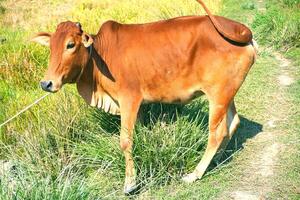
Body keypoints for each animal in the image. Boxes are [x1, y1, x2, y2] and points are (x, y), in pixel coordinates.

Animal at [32, 0, 258, 194]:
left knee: (217, 132)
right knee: (233, 123)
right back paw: (216, 160)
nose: (46, 83)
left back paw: (195, 173)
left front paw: (130, 183)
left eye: (70, 45)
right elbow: (138, 133)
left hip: (217, 95)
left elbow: (125, 141)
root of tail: (241, 30)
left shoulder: (129, 99)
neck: (99, 57)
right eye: (50, 46)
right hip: (227, 94)